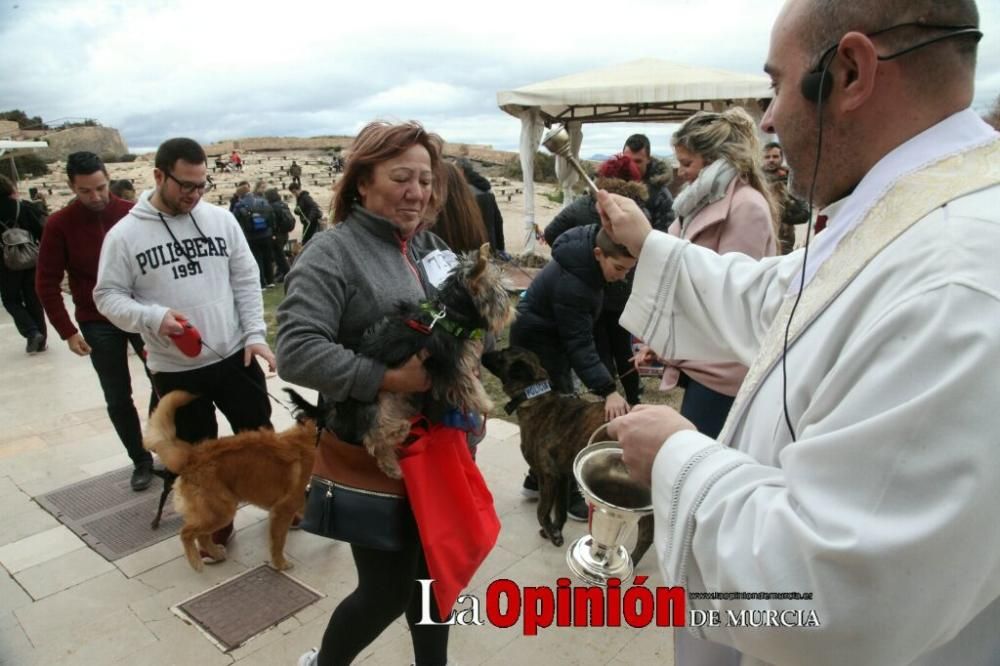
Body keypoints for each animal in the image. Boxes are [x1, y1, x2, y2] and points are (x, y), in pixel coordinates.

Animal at [144, 390, 316, 572]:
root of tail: (192, 456)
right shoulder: (283, 509)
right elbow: (278, 542)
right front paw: (280, 563)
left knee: (202, 536)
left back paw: (215, 554)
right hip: (221, 511)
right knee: (187, 533)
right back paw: (196, 561)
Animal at [484, 342, 656, 564]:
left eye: (501, 354)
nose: (482, 353)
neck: (536, 397)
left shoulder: (548, 475)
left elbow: (541, 511)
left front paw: (552, 533)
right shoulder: (563, 477)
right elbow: (560, 511)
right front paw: (554, 531)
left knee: (646, 536)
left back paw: (631, 562)